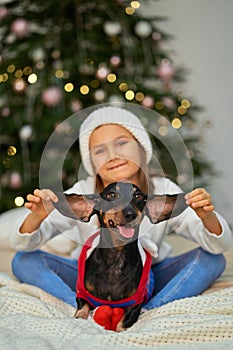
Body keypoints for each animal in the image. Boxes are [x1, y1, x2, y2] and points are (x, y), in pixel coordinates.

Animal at [53, 182, 187, 332]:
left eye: (138, 196)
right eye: (112, 194)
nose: (130, 214)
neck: (116, 257)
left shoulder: (135, 304)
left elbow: (122, 325)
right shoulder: (82, 294)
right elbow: (82, 308)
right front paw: (79, 318)